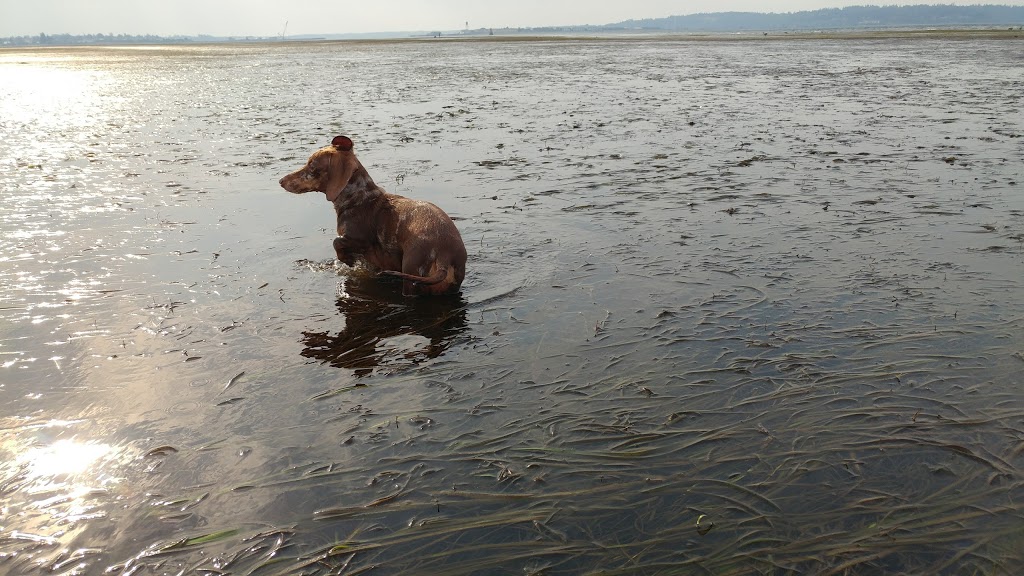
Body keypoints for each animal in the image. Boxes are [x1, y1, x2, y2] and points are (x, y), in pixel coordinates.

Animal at [279, 136, 467, 296]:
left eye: (312, 166)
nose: (281, 181)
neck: (359, 198)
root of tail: (444, 255)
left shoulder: (361, 241)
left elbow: (337, 242)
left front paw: (347, 260)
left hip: (410, 273)